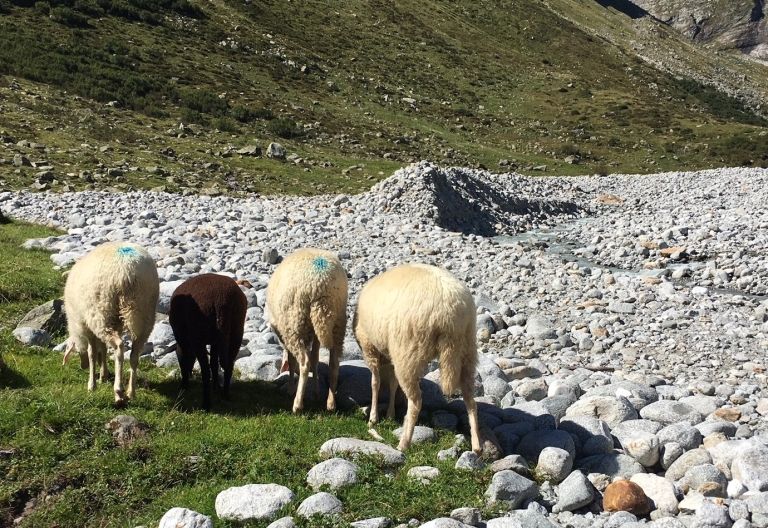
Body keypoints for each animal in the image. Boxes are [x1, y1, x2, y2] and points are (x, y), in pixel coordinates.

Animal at [63, 242, 159, 405]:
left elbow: (92, 352)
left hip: (100, 313)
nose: (82, 367)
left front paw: (92, 384)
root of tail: (128, 271)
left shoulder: (86, 325)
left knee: (119, 347)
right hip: (144, 313)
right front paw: (103, 375)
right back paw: (131, 392)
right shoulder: (115, 324)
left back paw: (119, 392)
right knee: (134, 355)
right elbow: (103, 348)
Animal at [169, 273, 247, 409]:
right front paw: (215, 387)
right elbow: (214, 363)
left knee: (205, 371)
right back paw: (225, 395)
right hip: (236, 332)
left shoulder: (184, 341)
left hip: (198, 337)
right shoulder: (216, 342)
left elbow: (183, 360)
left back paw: (206, 404)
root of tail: (221, 300)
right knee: (228, 366)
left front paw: (184, 385)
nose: (190, 375)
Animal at [266, 248, 347, 413]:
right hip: (336, 322)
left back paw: (297, 404)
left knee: (304, 363)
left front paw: (290, 388)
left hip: (294, 322)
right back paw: (331, 403)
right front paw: (316, 392)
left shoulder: (285, 332)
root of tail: (322, 283)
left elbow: (292, 361)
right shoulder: (315, 334)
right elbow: (315, 359)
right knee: (334, 363)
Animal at [353, 263, 482, 453]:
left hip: (408, 350)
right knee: (471, 401)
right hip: (467, 350)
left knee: (416, 401)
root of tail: (451, 314)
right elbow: (392, 383)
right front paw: (390, 414)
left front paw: (373, 418)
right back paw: (477, 445)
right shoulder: (392, 355)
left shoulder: (370, 346)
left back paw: (403, 443)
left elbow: (375, 383)